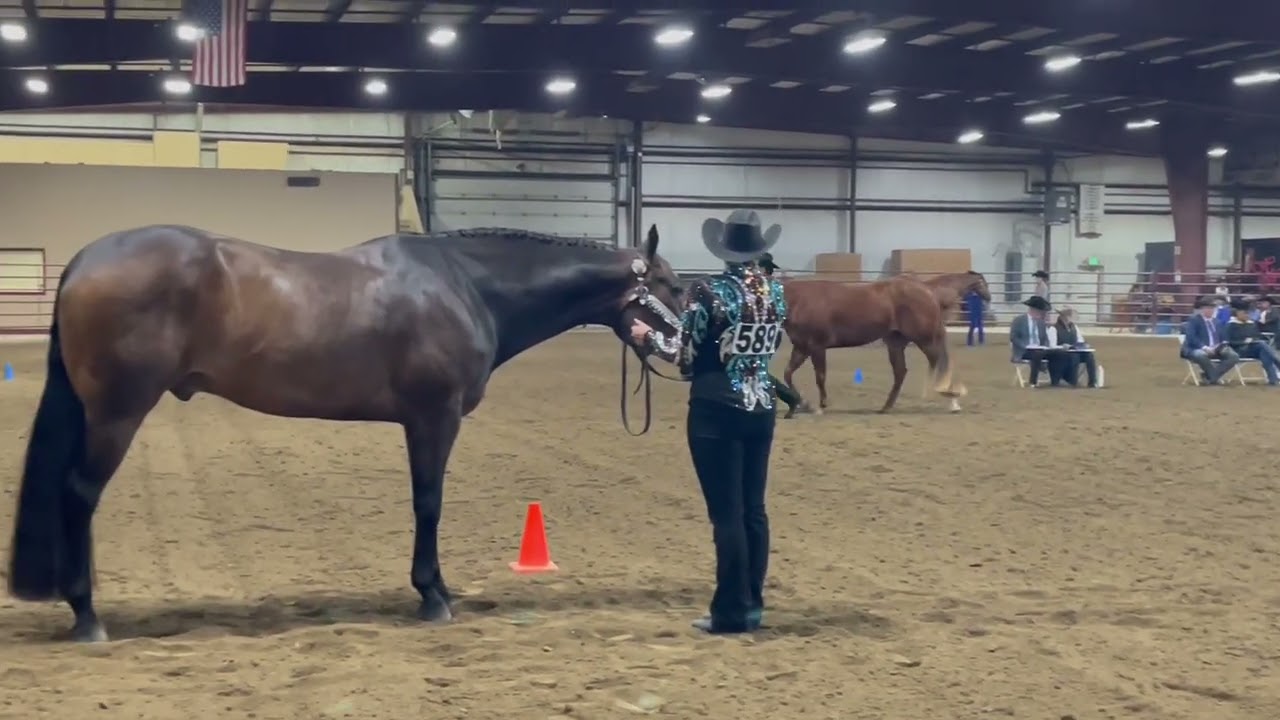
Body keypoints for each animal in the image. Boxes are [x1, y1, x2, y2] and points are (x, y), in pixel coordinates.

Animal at [7, 223, 683, 642]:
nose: (689, 346)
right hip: (117, 413)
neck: (466, 286)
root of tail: (85, 262)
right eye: (674, 286)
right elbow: (428, 503)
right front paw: (433, 596)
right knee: (79, 495)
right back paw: (87, 615)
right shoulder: (433, 418)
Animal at [780, 275, 966, 415]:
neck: (799, 301)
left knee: (938, 362)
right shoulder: (801, 348)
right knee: (901, 372)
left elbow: (820, 377)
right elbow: (788, 373)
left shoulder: (817, 347)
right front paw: (804, 404)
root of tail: (927, 291)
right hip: (896, 343)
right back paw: (886, 407)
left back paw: (951, 399)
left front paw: (820, 405)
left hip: (925, 339)